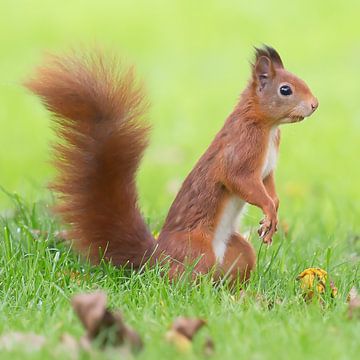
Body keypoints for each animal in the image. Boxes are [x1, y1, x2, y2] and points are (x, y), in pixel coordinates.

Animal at [25, 45, 318, 282]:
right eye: (285, 90)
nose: (315, 105)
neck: (267, 126)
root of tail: (157, 258)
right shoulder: (241, 151)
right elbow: (241, 181)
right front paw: (269, 210)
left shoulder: (267, 168)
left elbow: (269, 186)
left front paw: (273, 212)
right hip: (198, 252)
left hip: (239, 252)